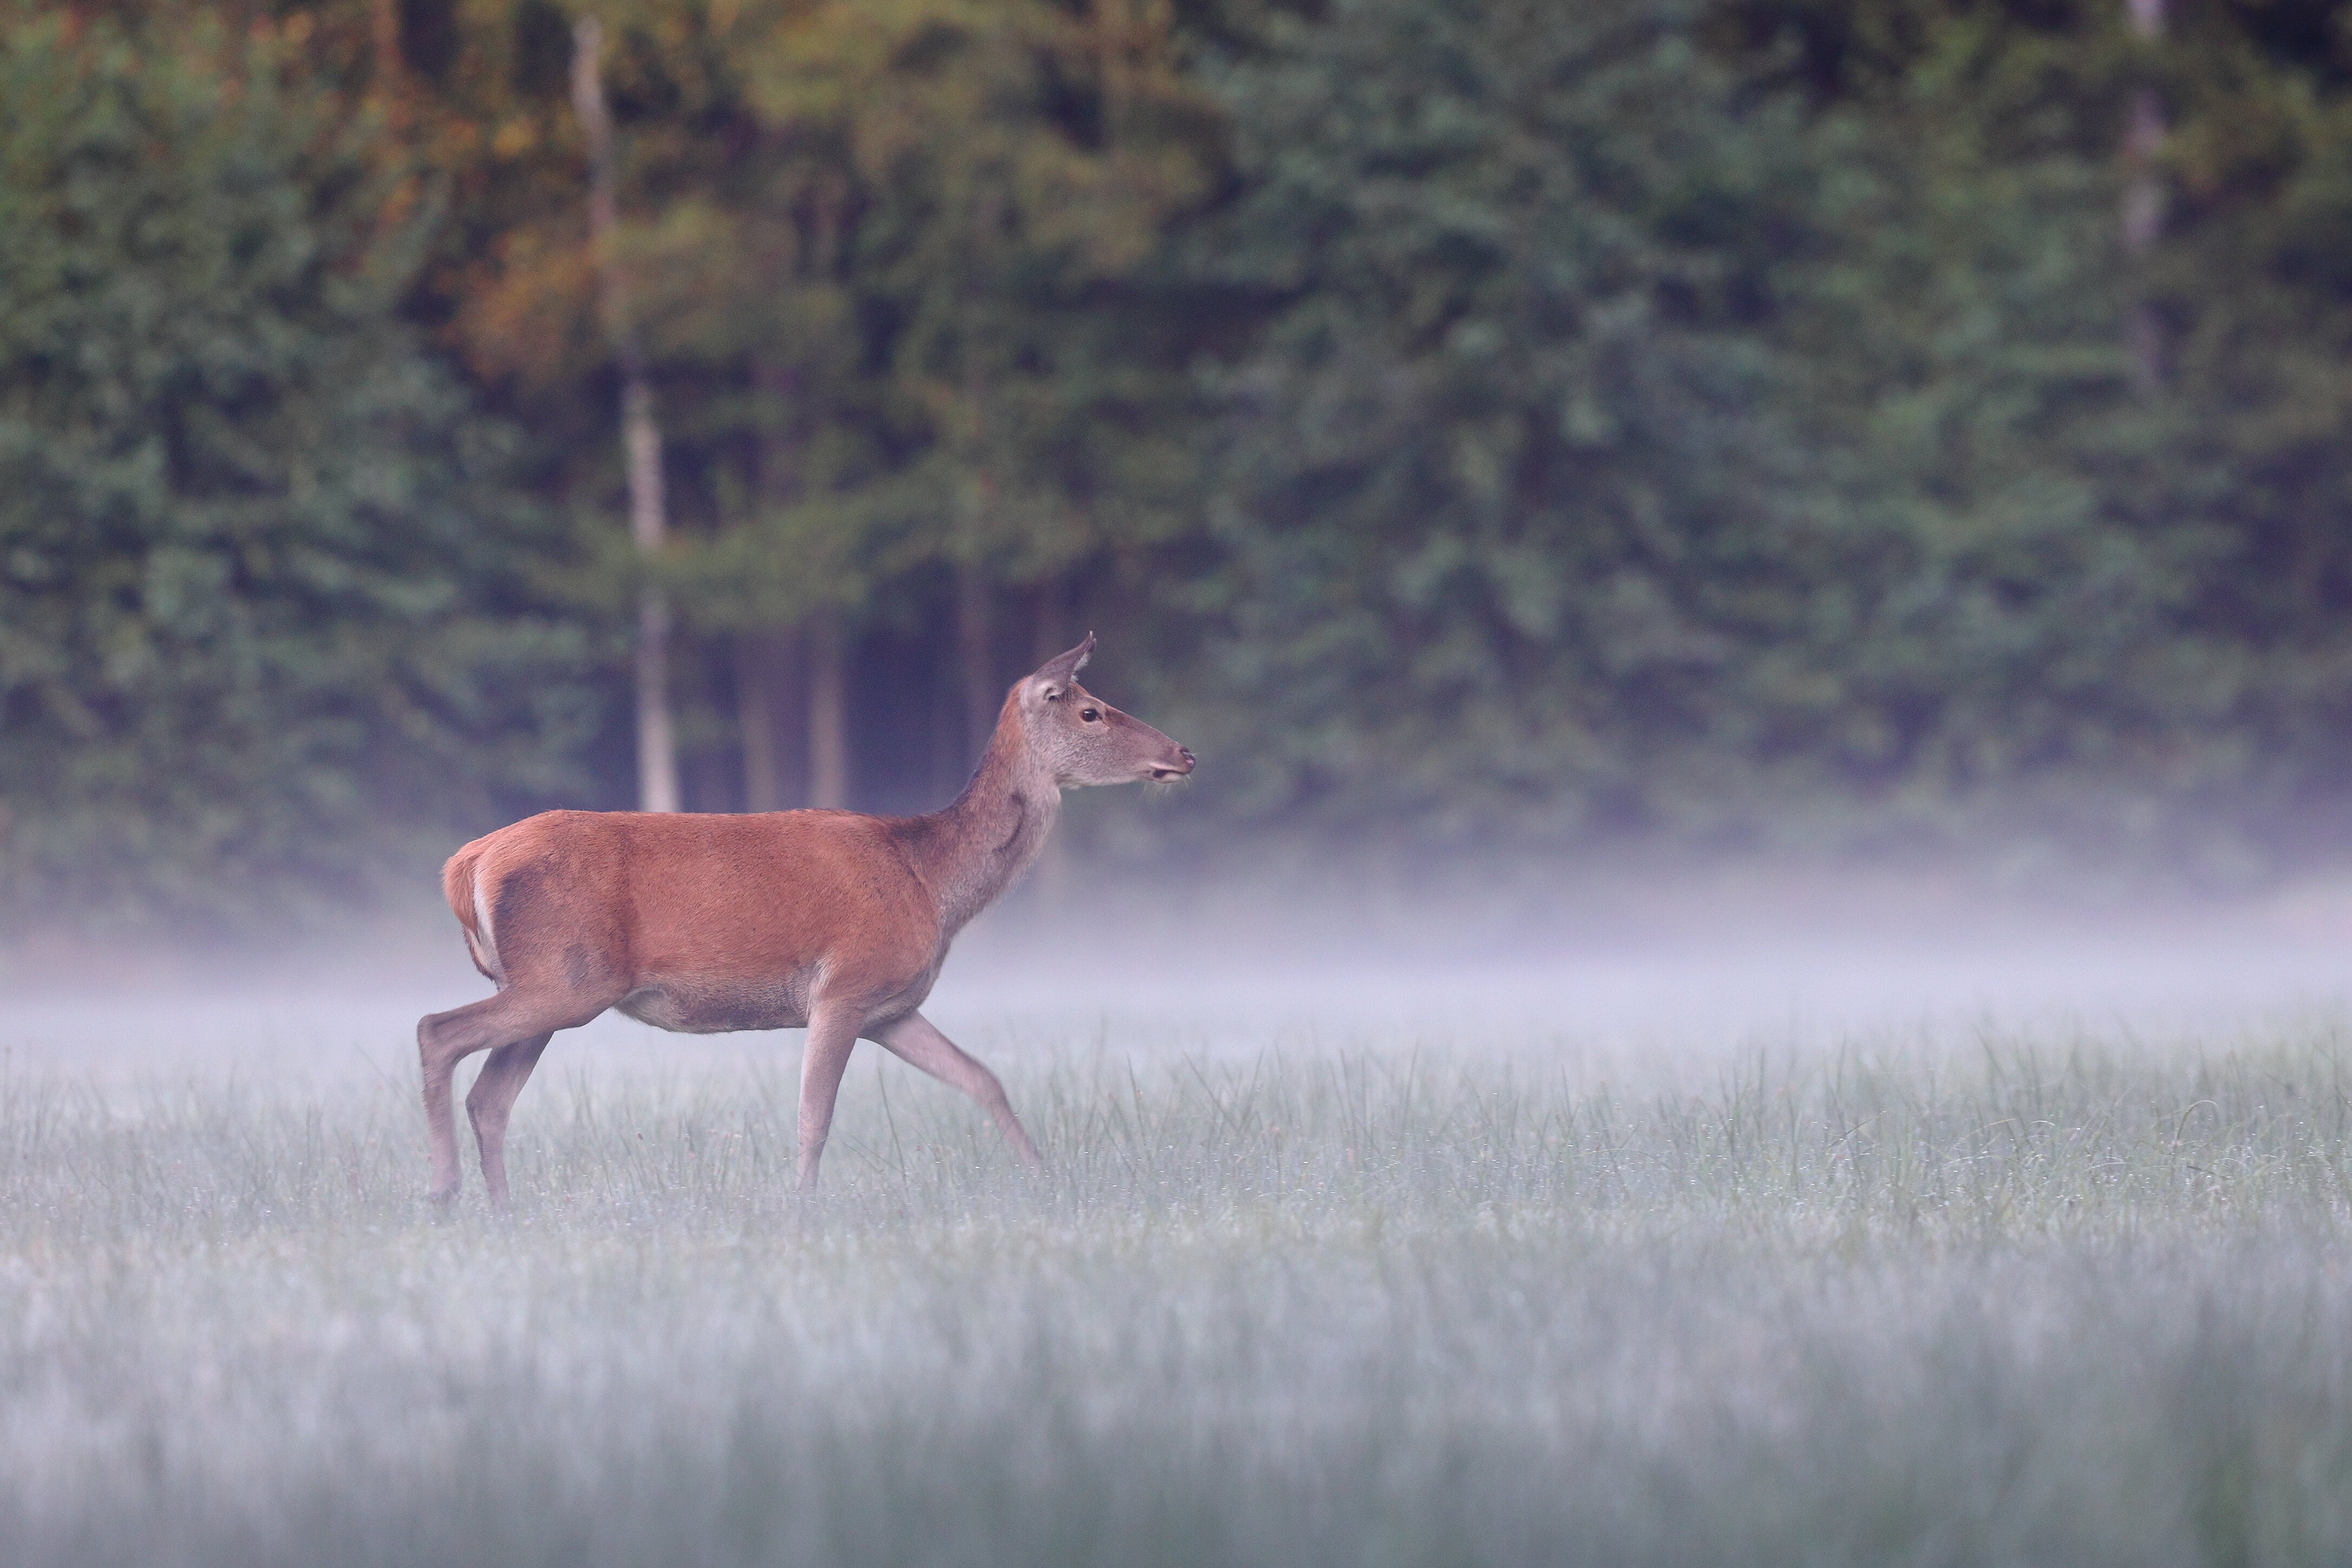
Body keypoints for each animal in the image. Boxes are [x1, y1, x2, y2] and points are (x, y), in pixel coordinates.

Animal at [414, 630, 1185, 1213]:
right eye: (1091, 711)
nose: (1182, 753)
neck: (930, 882)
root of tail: (468, 862)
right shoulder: (846, 985)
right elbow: (815, 1117)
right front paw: (803, 1209)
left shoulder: (892, 1008)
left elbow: (981, 1078)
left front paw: (1044, 1177)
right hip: (565, 977)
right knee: (436, 1031)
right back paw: (445, 1191)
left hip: (552, 985)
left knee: (490, 1097)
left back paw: (504, 1211)